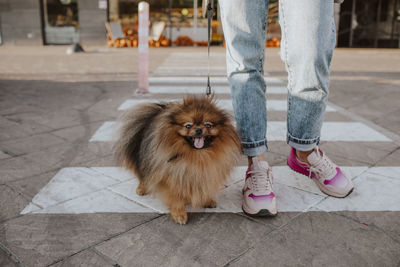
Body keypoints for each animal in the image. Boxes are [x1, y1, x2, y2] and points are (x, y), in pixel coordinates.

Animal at [115, 95, 241, 225]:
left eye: (208, 125)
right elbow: (176, 197)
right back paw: (142, 188)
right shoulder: (170, 177)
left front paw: (206, 200)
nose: (199, 129)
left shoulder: (204, 173)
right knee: (142, 174)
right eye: (188, 126)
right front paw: (179, 214)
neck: (197, 156)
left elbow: (202, 188)